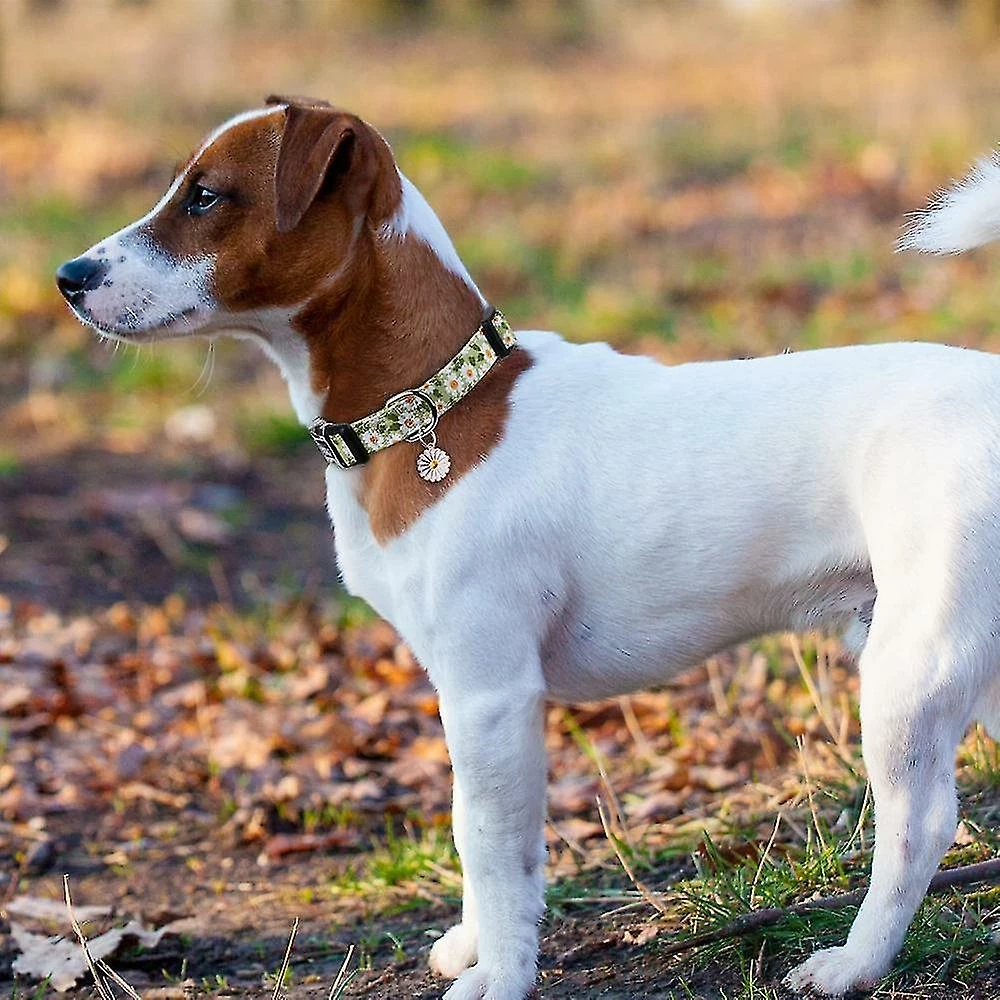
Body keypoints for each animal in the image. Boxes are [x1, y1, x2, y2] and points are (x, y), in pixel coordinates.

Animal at [55, 96, 1000, 998]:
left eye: (206, 197)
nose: (69, 276)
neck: (435, 407)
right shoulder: (460, 694)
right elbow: (469, 825)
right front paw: (476, 946)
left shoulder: (492, 694)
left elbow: (489, 843)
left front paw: (502, 976)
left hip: (911, 669)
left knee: (919, 827)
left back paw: (854, 964)